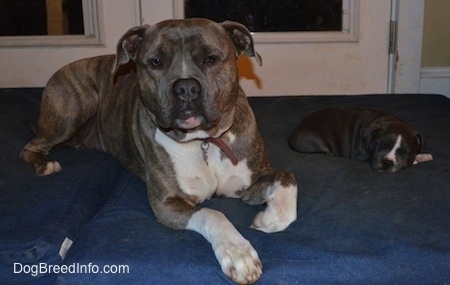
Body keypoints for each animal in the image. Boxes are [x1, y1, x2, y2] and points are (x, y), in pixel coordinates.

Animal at [21, 18, 298, 284]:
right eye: (156, 61)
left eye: (210, 58)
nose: (185, 87)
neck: (203, 141)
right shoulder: (167, 203)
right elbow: (213, 213)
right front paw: (238, 252)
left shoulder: (248, 184)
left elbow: (286, 177)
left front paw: (269, 219)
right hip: (73, 111)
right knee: (31, 146)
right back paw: (45, 163)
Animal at [288, 107, 432, 172]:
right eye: (379, 146)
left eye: (404, 153)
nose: (387, 162)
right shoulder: (361, 155)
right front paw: (418, 159)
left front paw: (422, 155)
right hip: (319, 140)